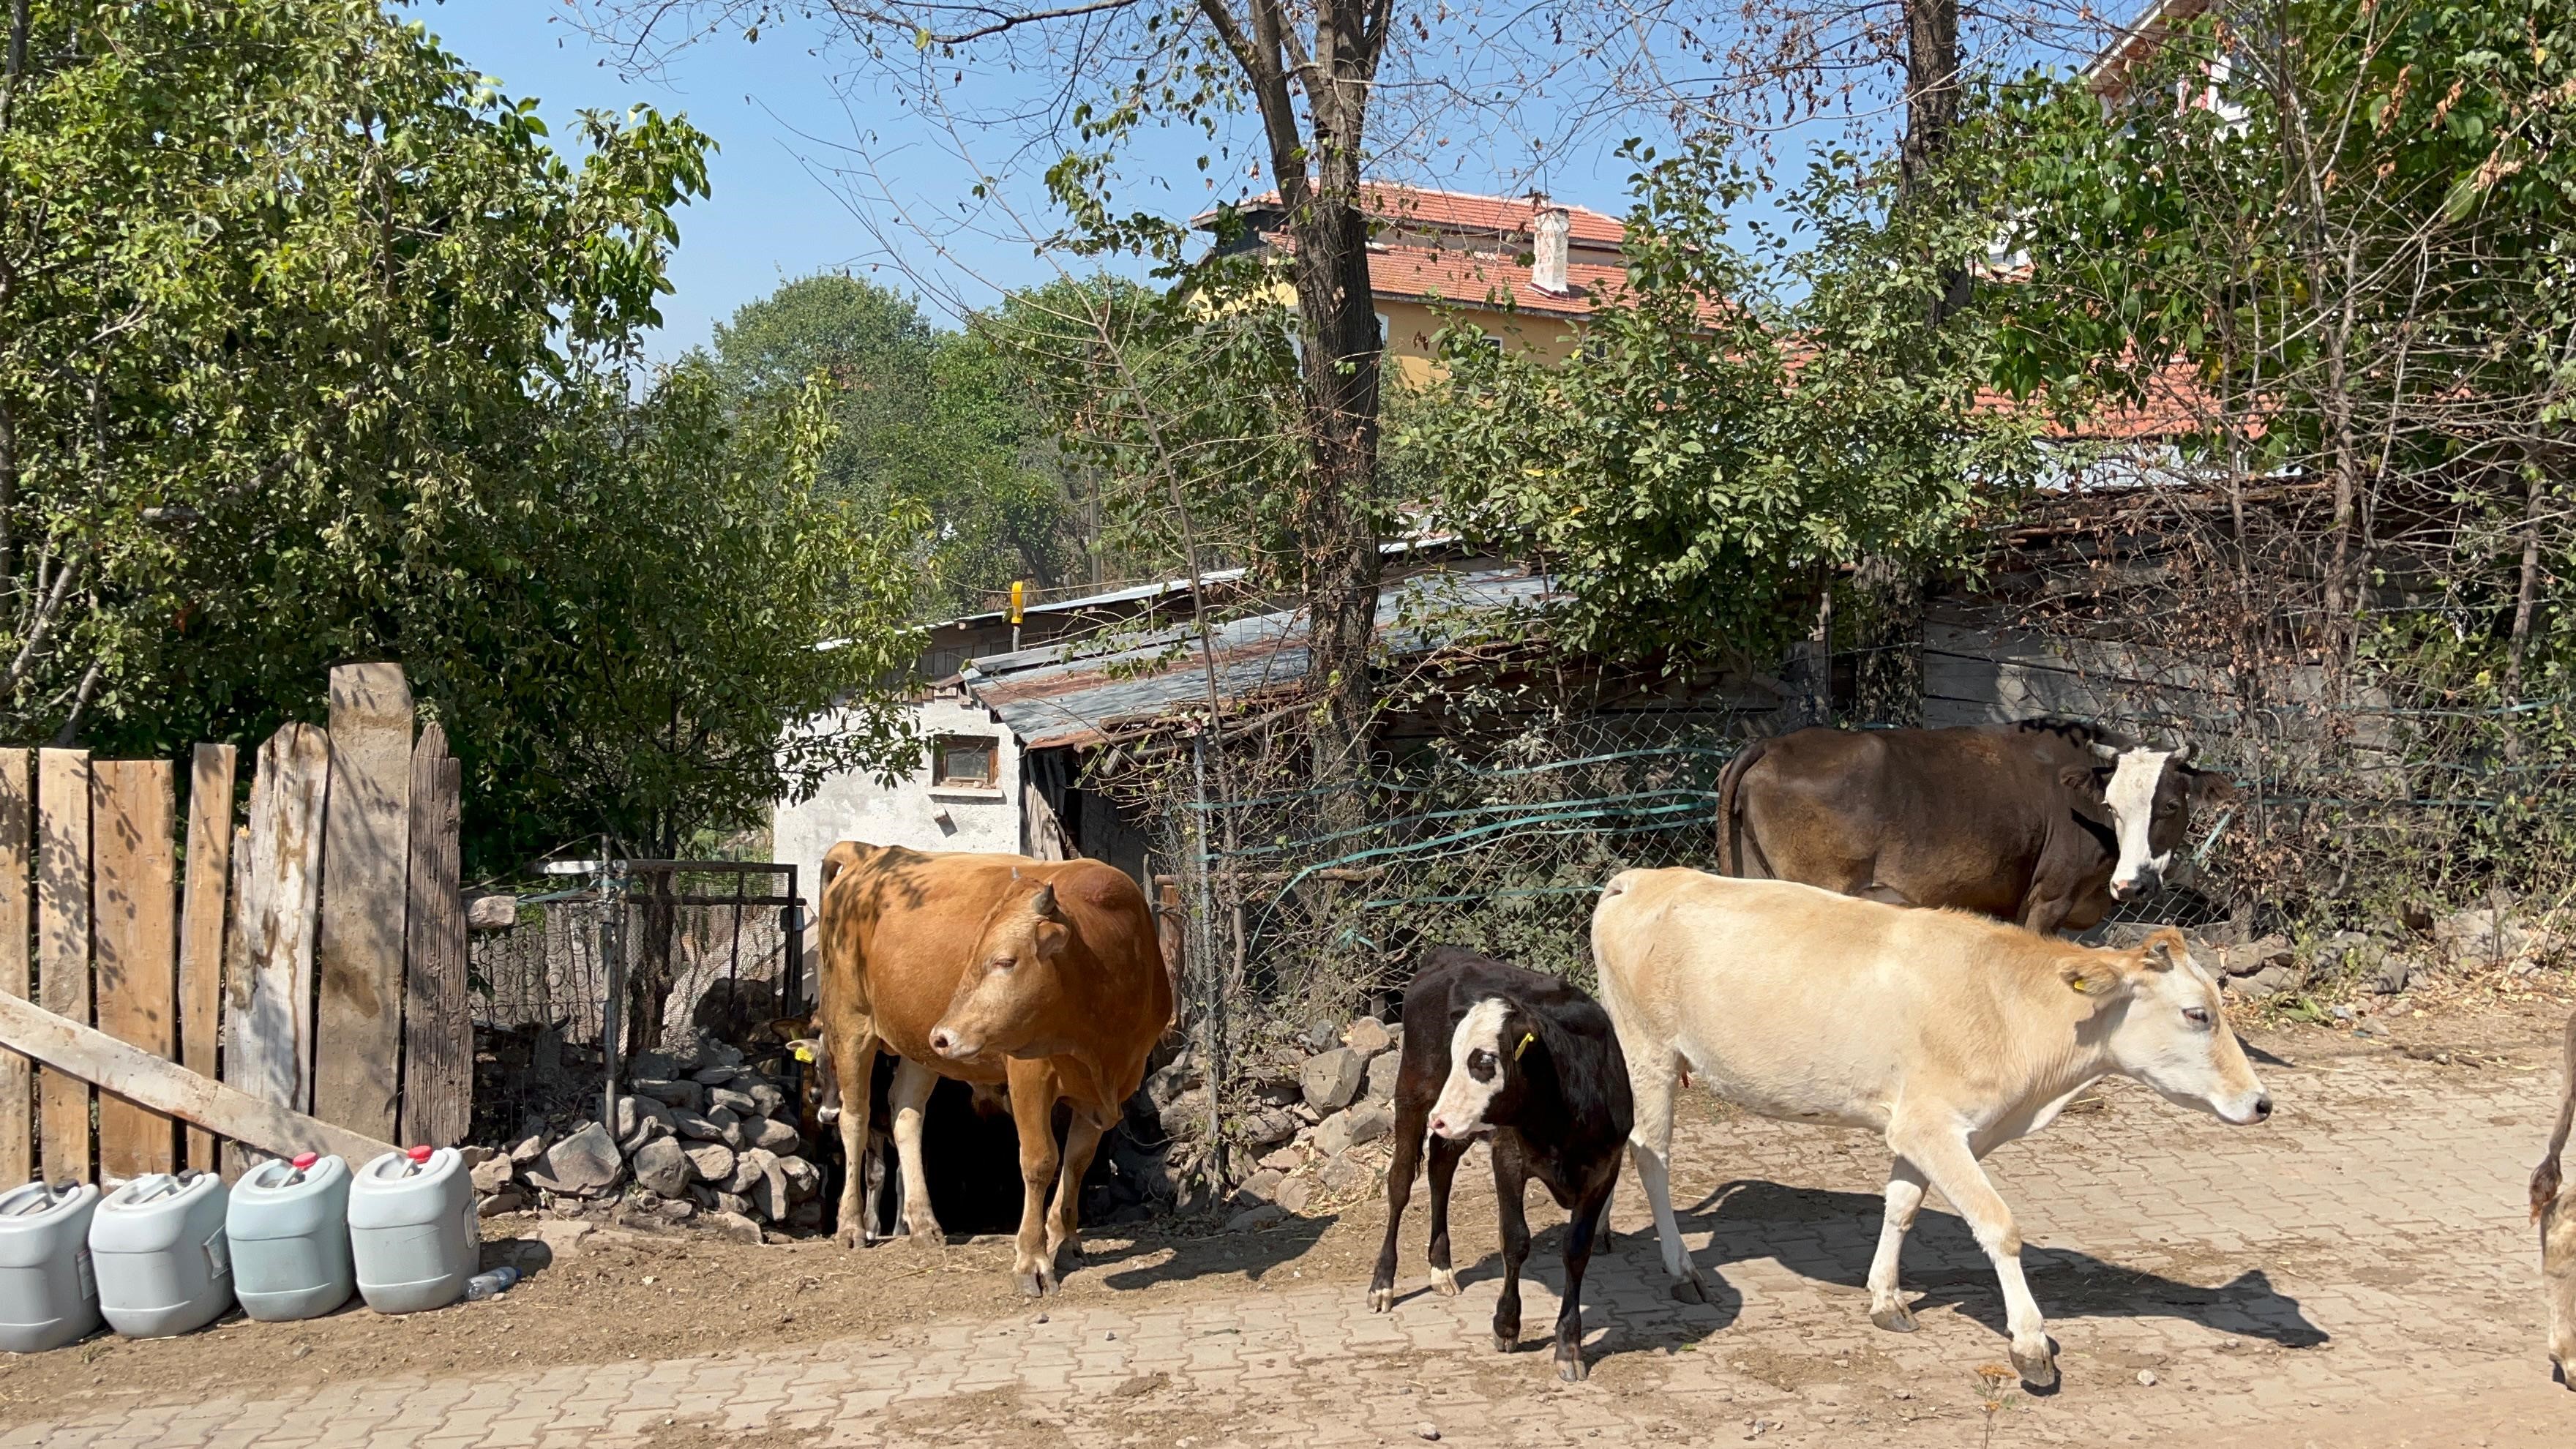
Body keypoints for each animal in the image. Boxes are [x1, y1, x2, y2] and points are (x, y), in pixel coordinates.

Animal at [814, 835, 1169, 1284]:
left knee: (907, 1114)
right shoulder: (1029, 1075)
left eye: (1004, 960)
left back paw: (924, 1224)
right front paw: (1032, 1259)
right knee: (855, 1119)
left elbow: (1077, 1161)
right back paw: (851, 1226)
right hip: (850, 1023)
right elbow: (1040, 1160)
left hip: (918, 1048)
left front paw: (1067, 1242)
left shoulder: (1109, 1089)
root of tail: (870, 853)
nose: (945, 1034)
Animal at [1370, 943, 1628, 1371]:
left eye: (1484, 1060)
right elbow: (1516, 1240)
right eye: (1458, 1055)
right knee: (1400, 1182)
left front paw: (1569, 1345)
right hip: (1412, 1092)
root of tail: (1448, 957)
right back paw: (1382, 1285)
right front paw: (1507, 1325)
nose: (1439, 1118)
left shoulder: (1605, 1169)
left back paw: (1441, 1268)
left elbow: (1577, 1250)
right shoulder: (1507, 1158)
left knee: (1441, 1167)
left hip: (1461, 1126)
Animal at [1587, 861, 2277, 1382]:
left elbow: (1901, 1207)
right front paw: (2030, 1343)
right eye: (2197, 1014)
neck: (2011, 1007)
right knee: (1652, 1154)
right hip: (1650, 1049)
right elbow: (1999, 1225)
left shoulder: (1915, 1127)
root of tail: (1646, 877)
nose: (2262, 1102)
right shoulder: (1932, 1126)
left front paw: (1886, 1297)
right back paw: (1682, 1269)